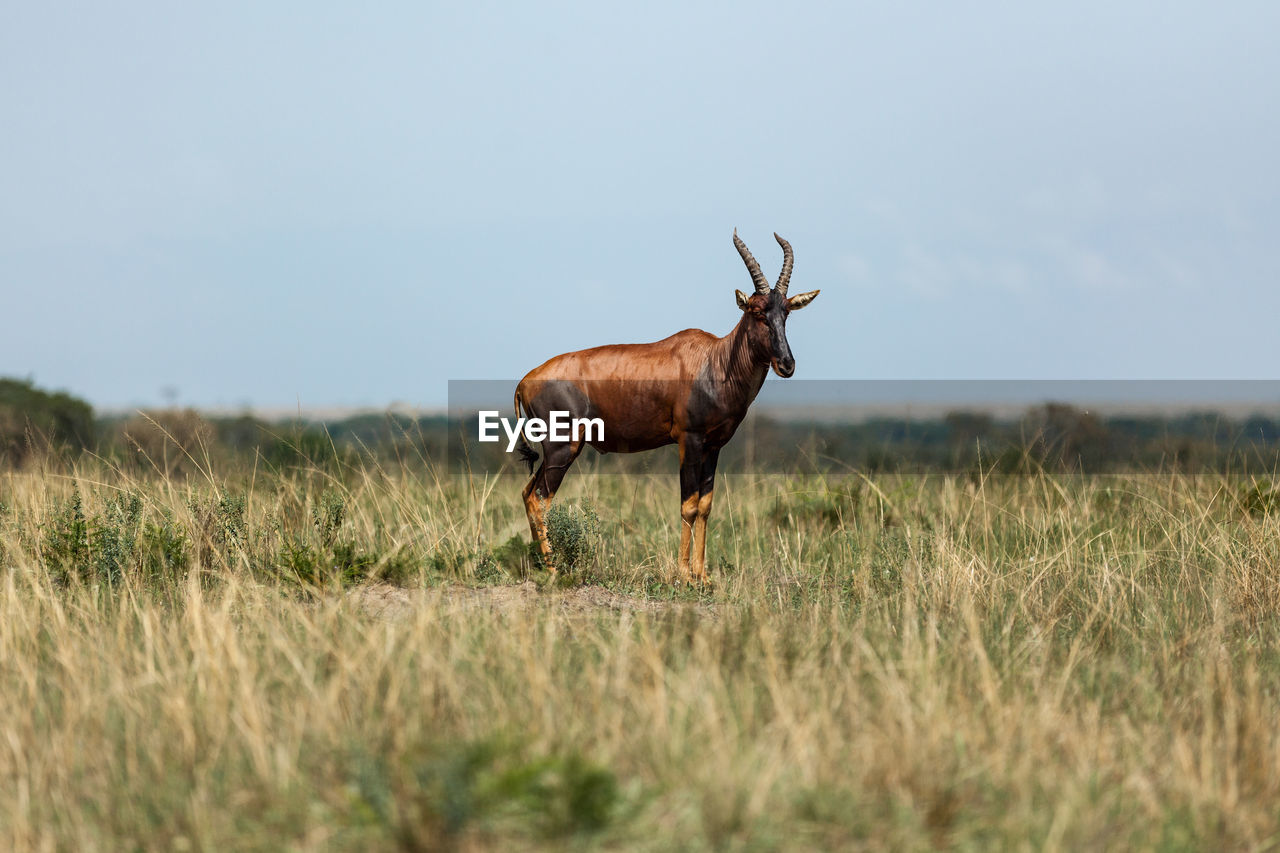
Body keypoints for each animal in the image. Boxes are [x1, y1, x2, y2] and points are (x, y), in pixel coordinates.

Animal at [512, 229, 819, 581]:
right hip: (562, 448)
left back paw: (540, 563)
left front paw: (702, 576)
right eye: (756, 311)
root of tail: (525, 382)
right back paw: (552, 569)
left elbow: (705, 506)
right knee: (540, 498)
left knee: (527, 493)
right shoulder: (689, 441)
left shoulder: (714, 446)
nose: (786, 364)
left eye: (786, 312)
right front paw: (684, 575)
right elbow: (688, 504)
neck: (714, 360)